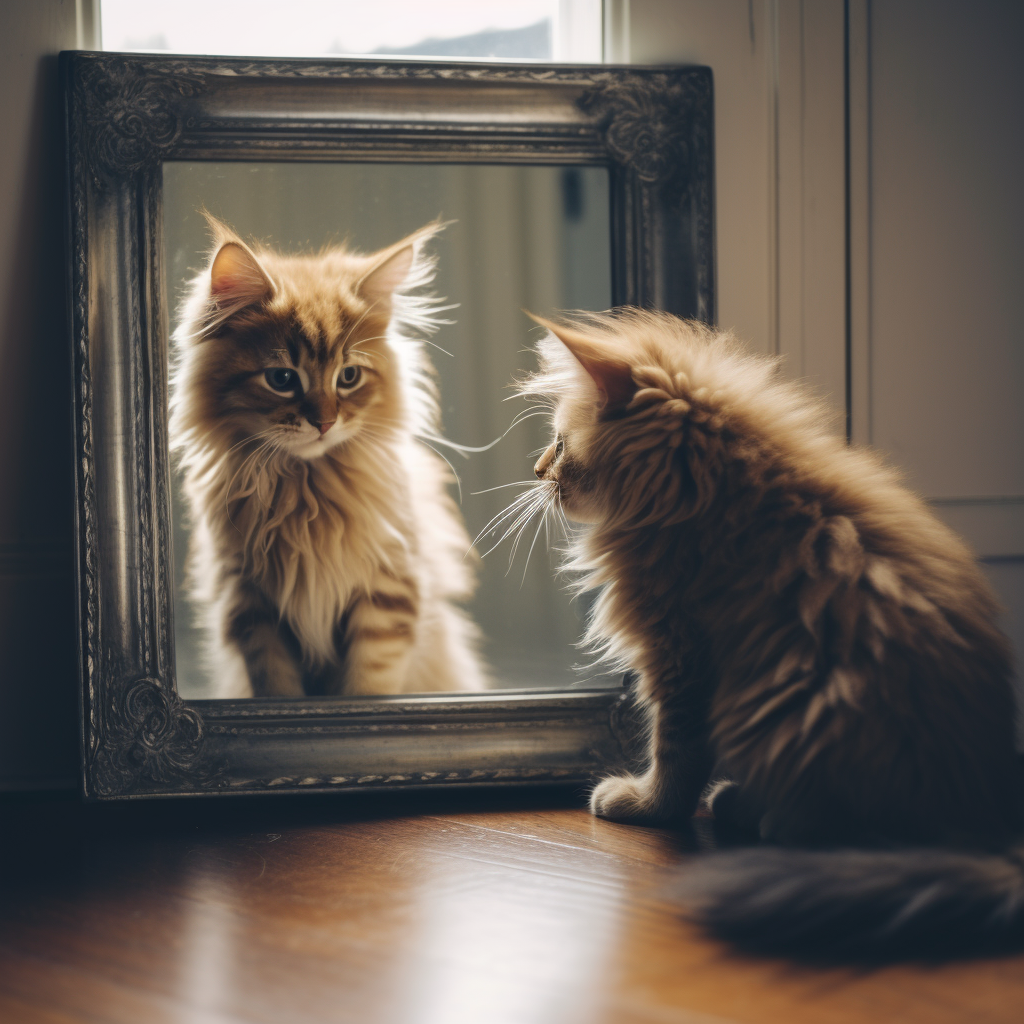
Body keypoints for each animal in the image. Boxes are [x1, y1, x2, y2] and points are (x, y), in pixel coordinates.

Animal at [168, 215, 487, 696]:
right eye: (282, 379)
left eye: (349, 377)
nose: (324, 423)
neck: (305, 493)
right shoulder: (253, 607)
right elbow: (277, 688)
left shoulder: (385, 594)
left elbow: (369, 685)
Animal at [524, 307, 1019, 954]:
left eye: (559, 444)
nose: (536, 471)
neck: (708, 490)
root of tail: (983, 818)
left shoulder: (678, 652)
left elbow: (675, 750)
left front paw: (648, 806)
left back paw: (765, 814)